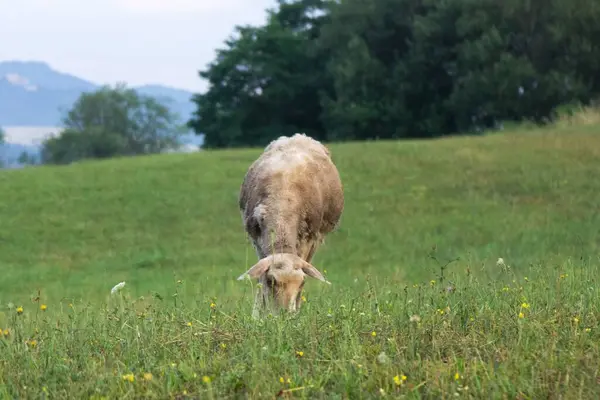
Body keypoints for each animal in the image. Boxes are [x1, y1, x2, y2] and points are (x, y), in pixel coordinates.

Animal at [237, 133, 344, 318]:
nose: (284, 314)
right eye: (271, 281)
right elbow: (259, 275)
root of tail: (299, 136)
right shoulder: (257, 239)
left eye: (302, 282)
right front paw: (259, 315)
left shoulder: (309, 238)